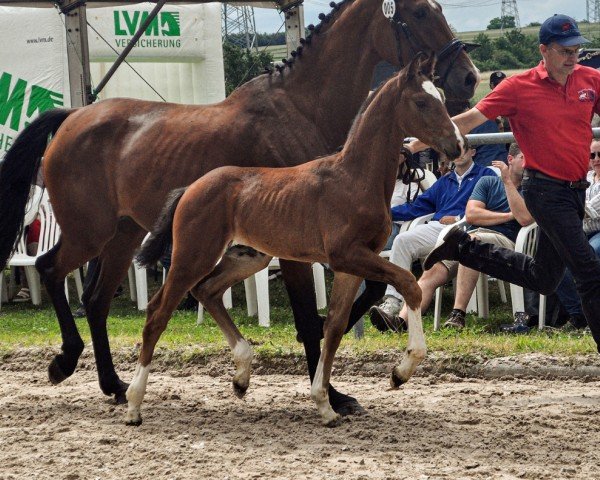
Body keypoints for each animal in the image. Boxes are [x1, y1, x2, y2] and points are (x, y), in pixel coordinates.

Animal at [126, 53, 464, 428]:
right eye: (421, 102)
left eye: (442, 98)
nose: (457, 145)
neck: (354, 178)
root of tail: (190, 188)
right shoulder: (346, 256)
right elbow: (409, 284)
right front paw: (400, 372)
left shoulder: (354, 264)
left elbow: (334, 326)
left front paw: (325, 403)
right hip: (193, 255)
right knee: (158, 312)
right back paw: (133, 405)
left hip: (248, 256)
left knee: (207, 291)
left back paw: (241, 375)